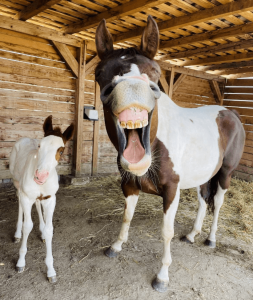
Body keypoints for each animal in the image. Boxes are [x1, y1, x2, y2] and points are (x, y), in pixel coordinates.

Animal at [9, 116, 74, 282]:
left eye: (61, 150)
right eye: (40, 145)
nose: (41, 176)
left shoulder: (50, 199)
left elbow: (50, 229)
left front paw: (51, 270)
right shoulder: (26, 197)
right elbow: (27, 226)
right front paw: (20, 262)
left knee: (38, 204)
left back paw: (42, 232)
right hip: (17, 184)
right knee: (19, 202)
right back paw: (17, 234)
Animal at [95, 15, 245, 292]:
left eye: (155, 72)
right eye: (100, 73)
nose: (131, 90)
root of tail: (231, 113)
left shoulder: (171, 190)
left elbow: (166, 232)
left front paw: (162, 276)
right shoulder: (129, 185)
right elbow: (126, 217)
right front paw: (116, 246)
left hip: (225, 173)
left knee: (217, 203)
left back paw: (210, 239)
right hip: (202, 175)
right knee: (203, 201)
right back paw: (192, 234)